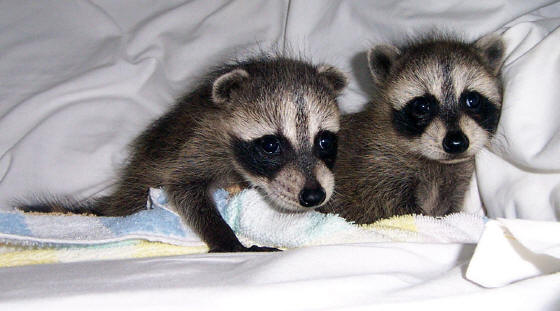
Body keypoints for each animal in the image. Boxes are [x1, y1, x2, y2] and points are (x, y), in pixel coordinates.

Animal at [20, 54, 346, 252]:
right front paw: (225, 238)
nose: (313, 195)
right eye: (270, 145)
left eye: (324, 141)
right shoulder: (201, 142)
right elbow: (182, 186)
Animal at [320, 33, 508, 224]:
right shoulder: (377, 170)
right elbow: (394, 211)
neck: (436, 162)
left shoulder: (456, 180)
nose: (456, 142)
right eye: (422, 106)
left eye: (472, 100)